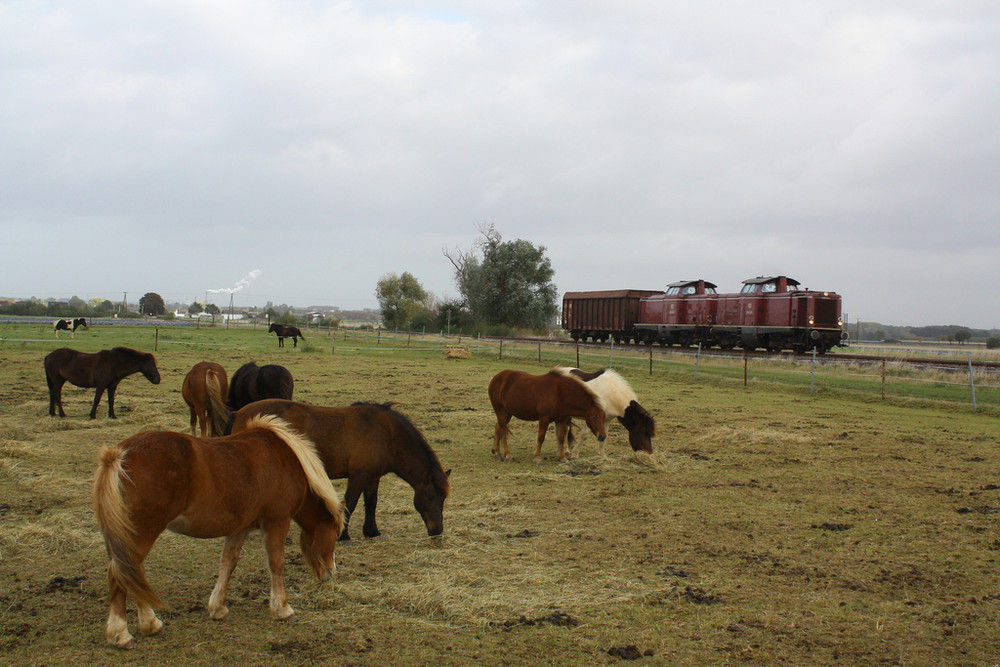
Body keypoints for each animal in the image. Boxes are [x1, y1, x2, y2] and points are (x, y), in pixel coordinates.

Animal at [94, 414, 344, 648]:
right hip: (141, 533)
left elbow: (228, 563)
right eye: (335, 535)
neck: (284, 460)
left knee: (132, 574)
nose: (330, 572)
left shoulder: (240, 528)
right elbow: (276, 564)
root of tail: (119, 455)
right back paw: (121, 634)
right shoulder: (277, 521)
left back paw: (150, 624)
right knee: (122, 573)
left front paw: (218, 608)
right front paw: (282, 609)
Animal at [229, 400, 452, 540]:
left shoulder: (373, 478)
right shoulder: (358, 476)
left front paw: (371, 531)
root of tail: (238, 413)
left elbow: (371, 503)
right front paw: (342, 535)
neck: (387, 434)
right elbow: (350, 503)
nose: (437, 530)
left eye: (443, 498)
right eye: (430, 496)